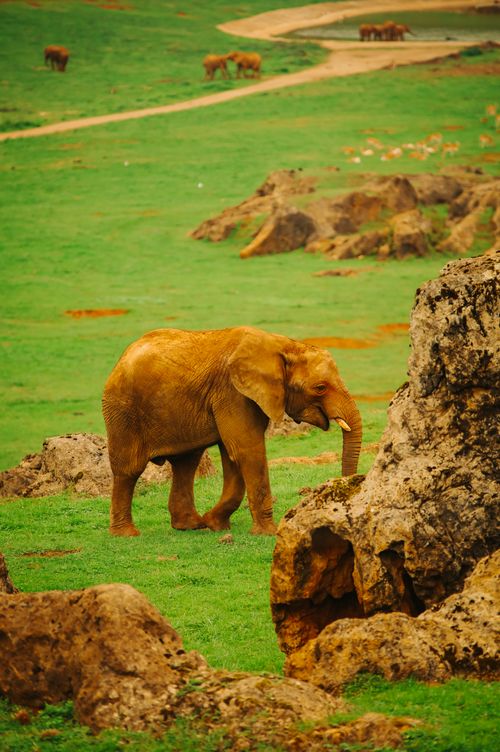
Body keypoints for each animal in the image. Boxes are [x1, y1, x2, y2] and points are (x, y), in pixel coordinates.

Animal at [102, 326, 362, 538]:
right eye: (320, 388)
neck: (284, 345)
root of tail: (122, 357)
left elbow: (232, 456)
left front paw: (215, 524)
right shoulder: (232, 392)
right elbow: (247, 450)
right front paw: (269, 532)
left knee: (186, 463)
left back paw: (191, 525)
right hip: (123, 410)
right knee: (129, 469)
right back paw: (126, 534)